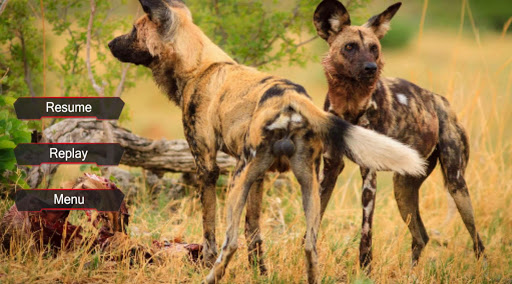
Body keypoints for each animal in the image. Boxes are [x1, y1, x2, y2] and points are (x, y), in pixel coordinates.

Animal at [107, 0, 424, 282]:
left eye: (134, 30)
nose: (110, 44)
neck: (199, 67)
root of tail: (291, 97)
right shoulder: (260, 176)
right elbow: (255, 232)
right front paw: (260, 273)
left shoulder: (207, 167)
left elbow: (209, 228)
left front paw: (205, 263)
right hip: (309, 183)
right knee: (310, 245)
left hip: (237, 179)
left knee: (230, 242)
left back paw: (209, 277)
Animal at [314, 0, 486, 270]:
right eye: (349, 47)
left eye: (374, 48)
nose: (371, 68)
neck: (349, 104)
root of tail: (442, 101)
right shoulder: (330, 168)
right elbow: (315, 218)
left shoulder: (368, 174)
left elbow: (366, 234)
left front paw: (365, 270)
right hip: (402, 187)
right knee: (421, 236)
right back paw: (411, 273)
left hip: (457, 185)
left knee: (477, 241)